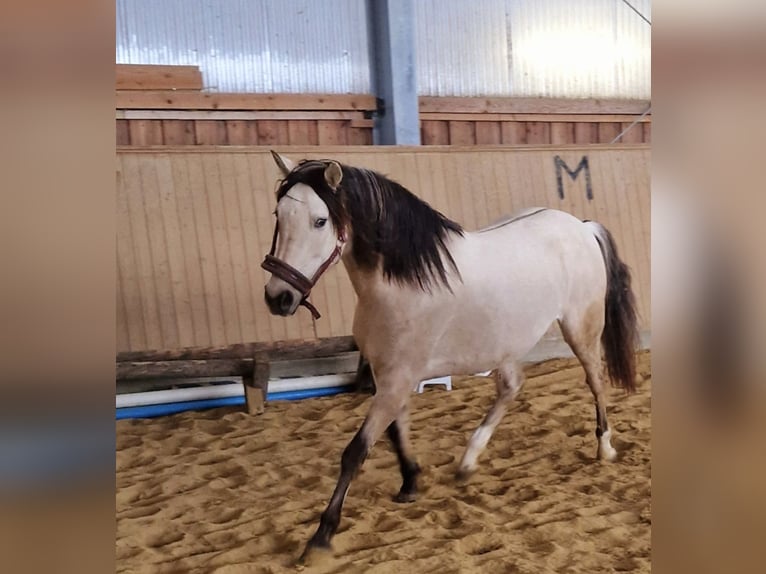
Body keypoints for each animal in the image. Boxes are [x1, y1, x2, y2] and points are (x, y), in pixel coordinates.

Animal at [261, 151, 639, 559]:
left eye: (320, 220)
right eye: (278, 215)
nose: (278, 298)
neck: (400, 283)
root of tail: (581, 228)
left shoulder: (397, 379)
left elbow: (355, 451)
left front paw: (321, 536)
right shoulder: (389, 376)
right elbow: (395, 432)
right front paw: (410, 483)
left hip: (581, 330)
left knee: (595, 380)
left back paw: (605, 447)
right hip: (506, 343)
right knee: (511, 387)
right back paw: (468, 461)